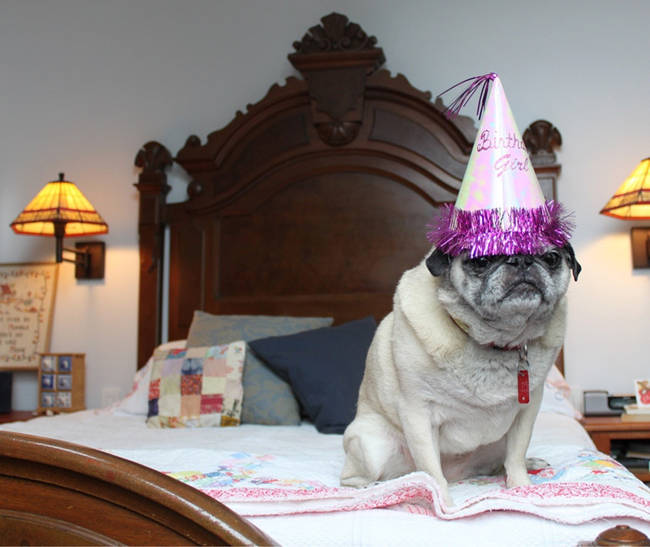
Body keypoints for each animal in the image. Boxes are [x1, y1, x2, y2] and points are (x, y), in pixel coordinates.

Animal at [340, 244, 576, 506]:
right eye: (482, 260)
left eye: (551, 257)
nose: (521, 260)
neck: (497, 343)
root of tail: (457, 474)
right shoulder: (418, 414)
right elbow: (432, 473)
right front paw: (444, 504)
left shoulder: (527, 411)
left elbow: (515, 455)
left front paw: (521, 488)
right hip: (372, 445)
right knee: (353, 479)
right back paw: (376, 488)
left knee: (501, 463)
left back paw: (528, 463)